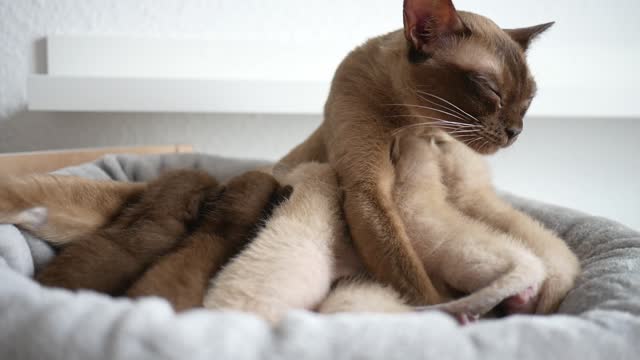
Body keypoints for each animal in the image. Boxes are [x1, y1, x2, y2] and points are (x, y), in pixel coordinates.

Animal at [278, 0, 564, 310]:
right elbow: (413, 281)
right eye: (491, 90)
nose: (516, 131)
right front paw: (430, 310)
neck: (417, 124)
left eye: (529, 99)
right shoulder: (366, 190)